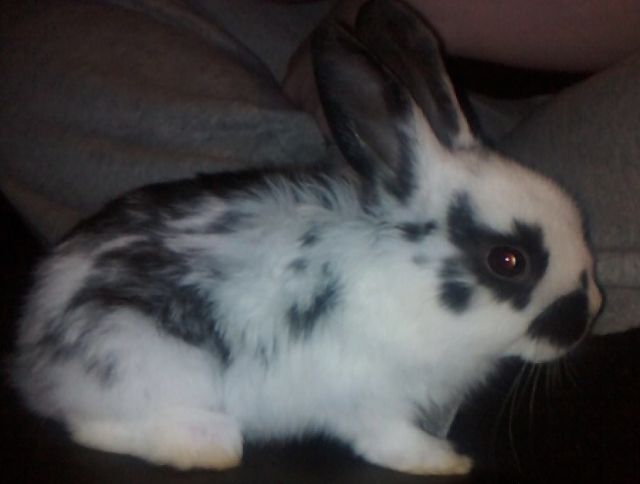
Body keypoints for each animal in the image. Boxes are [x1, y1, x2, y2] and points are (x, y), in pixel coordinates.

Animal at [11, 0, 602, 476]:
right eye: (508, 261)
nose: (589, 313)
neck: (405, 277)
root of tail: (32, 351)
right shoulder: (370, 398)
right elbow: (389, 441)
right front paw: (445, 461)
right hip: (148, 359)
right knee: (95, 425)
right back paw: (208, 445)